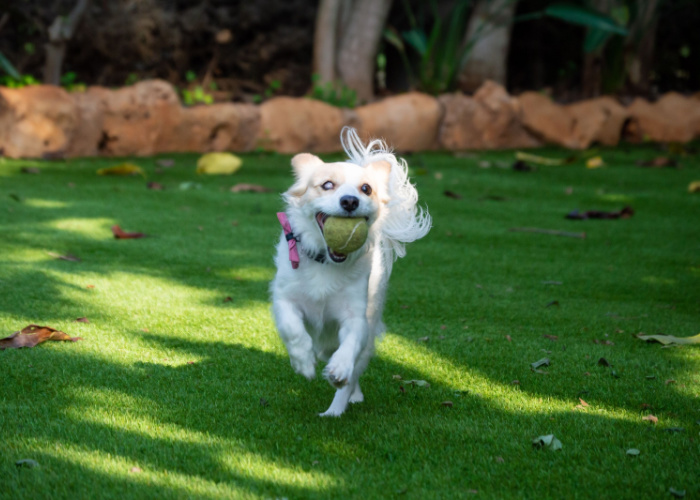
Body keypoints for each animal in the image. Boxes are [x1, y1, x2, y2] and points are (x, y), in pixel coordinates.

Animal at [270, 127, 430, 416]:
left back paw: (335, 409)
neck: (327, 263)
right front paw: (303, 363)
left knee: (351, 371)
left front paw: (339, 368)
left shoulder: (356, 316)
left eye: (366, 189)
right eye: (327, 185)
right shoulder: (284, 298)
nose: (350, 201)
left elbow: (351, 344)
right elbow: (293, 329)